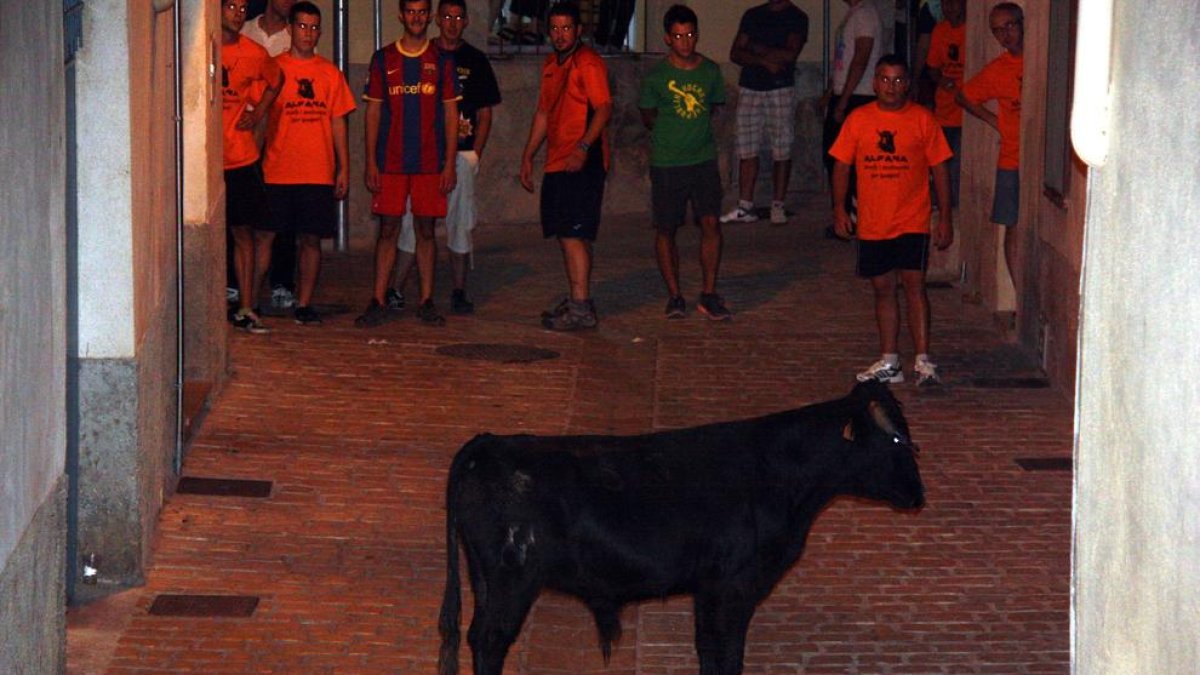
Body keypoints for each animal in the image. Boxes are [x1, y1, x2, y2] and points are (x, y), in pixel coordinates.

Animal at [441, 381, 926, 667]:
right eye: (897, 439)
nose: (919, 495)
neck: (779, 473)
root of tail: (492, 443)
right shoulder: (734, 587)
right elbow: (726, 650)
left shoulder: (709, 588)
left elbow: (708, 647)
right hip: (513, 579)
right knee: (490, 639)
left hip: (487, 579)